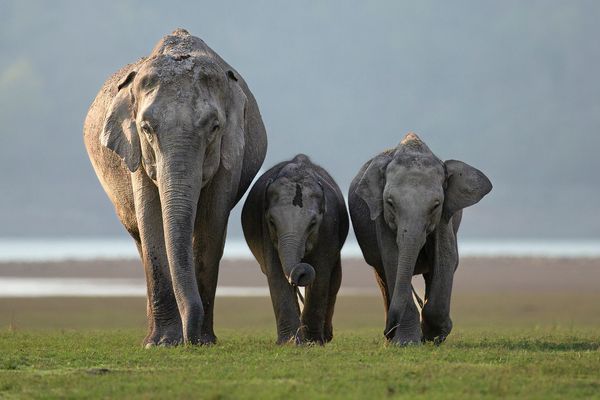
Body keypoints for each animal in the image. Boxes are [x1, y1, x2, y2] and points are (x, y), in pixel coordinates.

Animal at [82, 28, 268, 346]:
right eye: (146, 128)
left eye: (214, 127)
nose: (189, 338)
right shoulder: (136, 155)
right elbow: (151, 221)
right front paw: (162, 343)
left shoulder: (230, 156)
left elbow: (211, 225)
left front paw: (203, 341)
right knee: (139, 239)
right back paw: (150, 335)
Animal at [241, 154, 350, 344]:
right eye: (272, 221)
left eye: (313, 223)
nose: (300, 272)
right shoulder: (265, 231)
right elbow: (276, 272)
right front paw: (290, 342)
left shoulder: (328, 225)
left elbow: (321, 272)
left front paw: (313, 342)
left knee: (335, 277)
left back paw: (324, 336)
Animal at [346, 133, 492, 346]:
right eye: (390, 203)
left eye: (435, 205)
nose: (387, 330)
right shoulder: (381, 217)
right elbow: (392, 259)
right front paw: (405, 343)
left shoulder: (445, 217)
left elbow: (446, 258)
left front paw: (435, 335)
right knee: (383, 273)